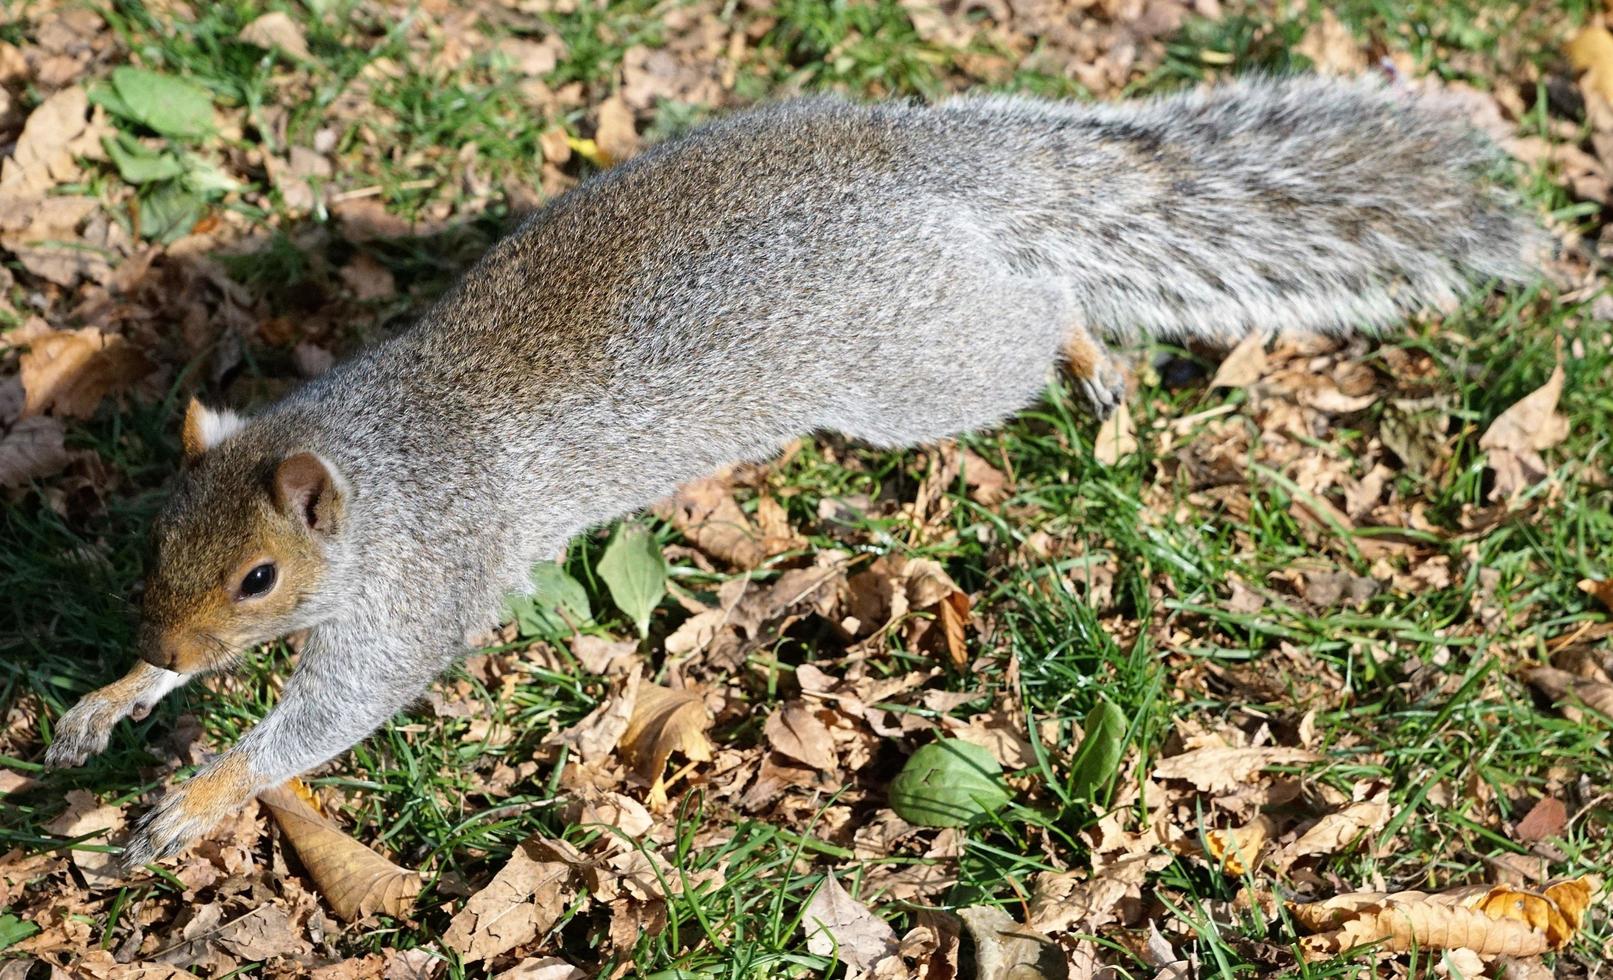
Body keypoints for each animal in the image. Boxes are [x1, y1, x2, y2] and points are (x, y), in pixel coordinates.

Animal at [44, 76, 1542, 863]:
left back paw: (1080, 349)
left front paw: (195, 794)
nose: (155, 636)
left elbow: (335, 710)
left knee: (1041, 303)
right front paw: (116, 698)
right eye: (156, 544)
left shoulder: (426, 585)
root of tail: (925, 164)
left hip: (923, 370)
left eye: (258, 575)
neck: (380, 462)